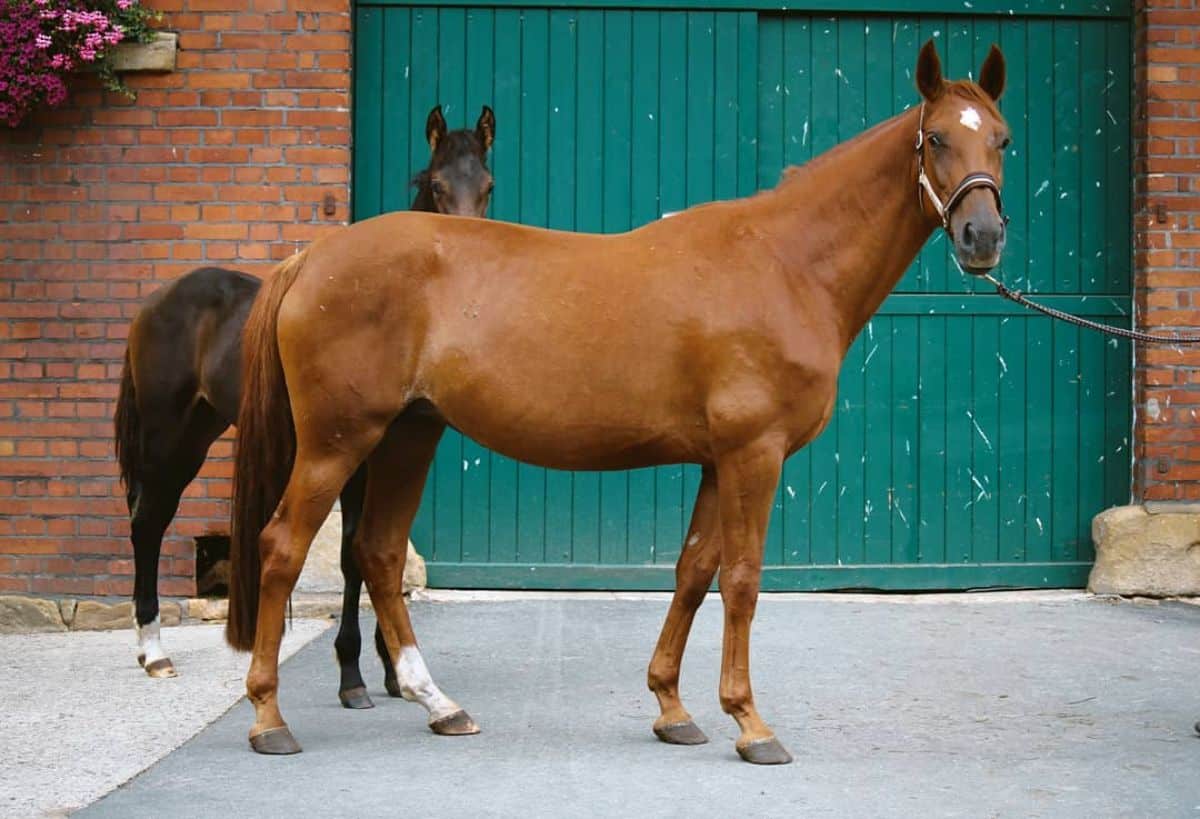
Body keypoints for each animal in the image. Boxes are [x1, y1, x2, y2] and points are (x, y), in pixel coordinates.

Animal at [113, 103, 496, 701]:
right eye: (436, 184)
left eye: (487, 185)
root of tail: (156, 300)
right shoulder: (350, 461)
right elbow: (351, 554)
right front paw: (353, 674)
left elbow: (371, 550)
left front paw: (389, 670)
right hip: (168, 436)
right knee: (148, 519)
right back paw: (153, 651)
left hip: (200, 429)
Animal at [226, 41, 1012, 763]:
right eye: (937, 139)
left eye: (1001, 138)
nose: (983, 237)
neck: (785, 266)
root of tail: (312, 258)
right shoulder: (754, 454)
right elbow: (743, 580)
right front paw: (751, 723)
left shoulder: (717, 460)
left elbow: (694, 573)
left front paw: (673, 708)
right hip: (338, 441)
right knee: (284, 547)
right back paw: (269, 718)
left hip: (409, 434)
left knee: (380, 553)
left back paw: (440, 705)